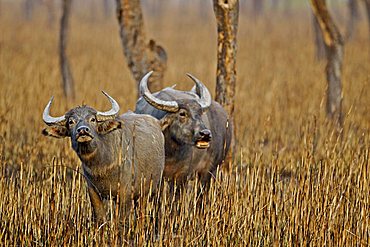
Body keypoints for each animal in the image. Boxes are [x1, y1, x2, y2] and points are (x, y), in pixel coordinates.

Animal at [42, 91, 165, 223]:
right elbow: (100, 217)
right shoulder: (93, 192)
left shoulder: (125, 193)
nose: (83, 131)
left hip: (147, 191)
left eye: (92, 119)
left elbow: (122, 219)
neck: (101, 166)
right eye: (71, 122)